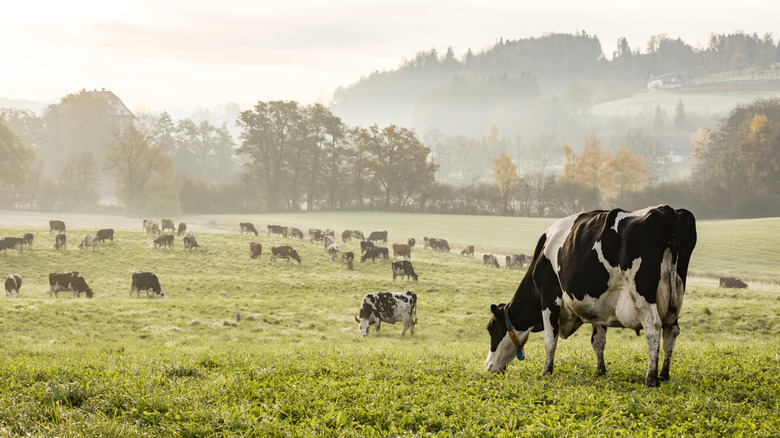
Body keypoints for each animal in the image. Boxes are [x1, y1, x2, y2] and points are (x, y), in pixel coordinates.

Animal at [484, 206, 697, 387]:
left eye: (490, 328)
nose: (488, 366)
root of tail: (665, 209)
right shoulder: (599, 307)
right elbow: (598, 341)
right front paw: (600, 371)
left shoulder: (549, 298)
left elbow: (550, 340)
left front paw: (546, 372)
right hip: (675, 296)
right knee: (671, 331)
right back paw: (664, 375)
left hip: (642, 293)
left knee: (653, 327)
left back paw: (651, 378)